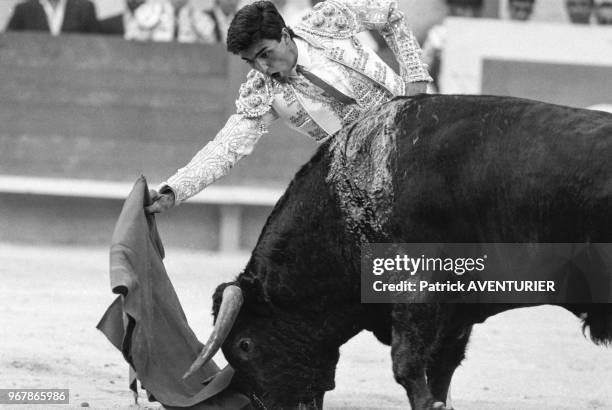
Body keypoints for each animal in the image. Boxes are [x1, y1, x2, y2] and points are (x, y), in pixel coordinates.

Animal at [186, 94, 612, 408]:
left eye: (244, 345)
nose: (268, 406)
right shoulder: (455, 313)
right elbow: (440, 370)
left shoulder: (415, 286)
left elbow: (407, 367)